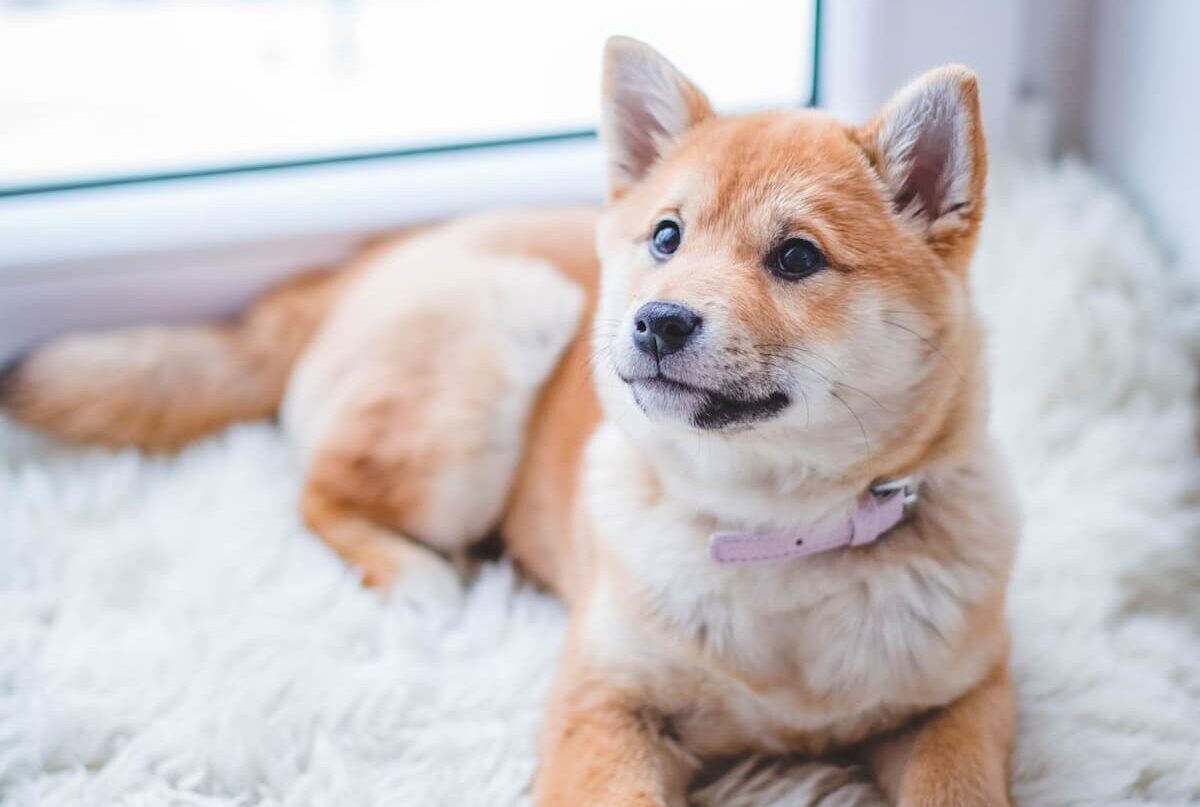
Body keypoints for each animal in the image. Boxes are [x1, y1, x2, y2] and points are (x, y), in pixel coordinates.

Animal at [0, 36, 1017, 802]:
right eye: (667, 237)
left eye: (798, 257)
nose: (657, 321)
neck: (777, 538)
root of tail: (362, 263)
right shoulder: (604, 702)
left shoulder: (965, 700)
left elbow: (957, 784)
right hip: (494, 351)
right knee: (320, 494)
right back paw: (419, 575)